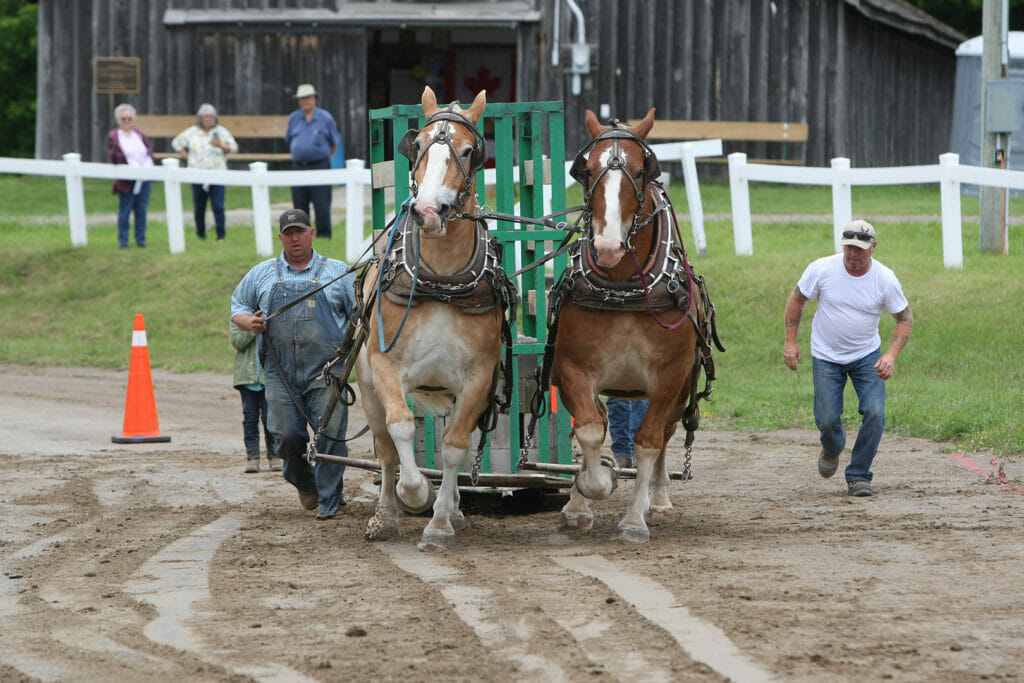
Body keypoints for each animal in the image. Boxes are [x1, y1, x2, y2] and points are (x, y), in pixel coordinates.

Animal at [354, 88, 520, 552]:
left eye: (467, 150)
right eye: (420, 144)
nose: (428, 211)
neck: (443, 283)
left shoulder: (479, 378)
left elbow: (455, 447)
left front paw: (442, 521)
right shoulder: (386, 367)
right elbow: (400, 431)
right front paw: (414, 494)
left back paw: (456, 509)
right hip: (368, 388)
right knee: (385, 449)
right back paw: (385, 516)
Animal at [544, 109, 720, 540]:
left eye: (641, 171)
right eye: (587, 170)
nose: (607, 246)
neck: (623, 288)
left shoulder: (670, 376)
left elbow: (649, 442)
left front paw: (635, 519)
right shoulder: (572, 369)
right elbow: (590, 428)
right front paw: (586, 493)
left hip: (681, 390)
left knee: (665, 436)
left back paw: (659, 500)